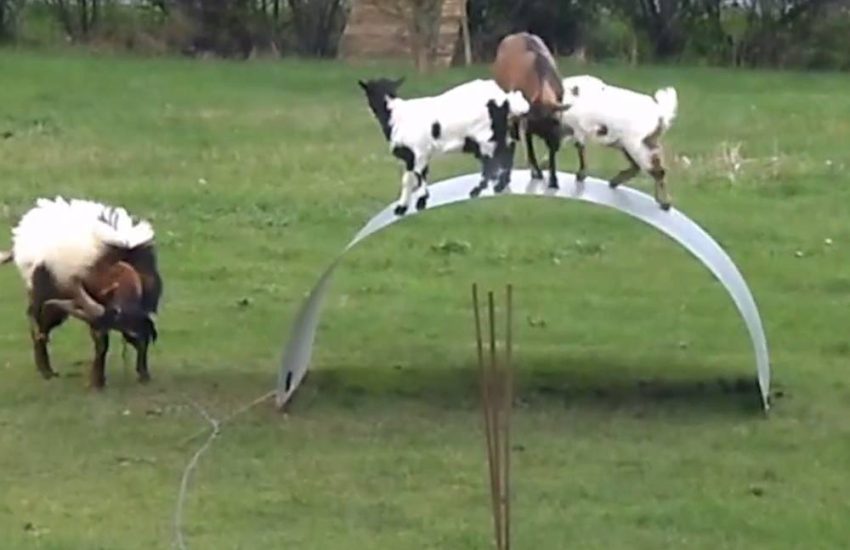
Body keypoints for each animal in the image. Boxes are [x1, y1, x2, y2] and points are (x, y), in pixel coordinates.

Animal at [1, 197, 163, 388]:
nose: (134, 333)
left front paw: (143, 374)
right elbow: (101, 343)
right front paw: (97, 381)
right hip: (44, 296)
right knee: (39, 327)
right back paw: (46, 371)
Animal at [358, 77, 530, 215]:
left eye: (369, 92)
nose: (370, 109)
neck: (395, 115)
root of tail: (505, 99)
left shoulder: (419, 152)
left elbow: (418, 175)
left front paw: (420, 202)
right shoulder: (412, 156)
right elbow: (408, 179)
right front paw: (404, 207)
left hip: (486, 137)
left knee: (493, 162)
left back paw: (480, 189)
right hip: (495, 134)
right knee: (507, 150)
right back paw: (499, 185)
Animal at [492, 32, 568, 190]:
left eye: (556, 121)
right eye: (535, 127)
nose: (557, 144)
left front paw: (553, 180)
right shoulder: (526, 122)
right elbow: (529, 147)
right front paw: (537, 173)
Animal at [559, 75, 679, 210]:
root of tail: (661, 114)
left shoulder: (577, 129)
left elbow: (580, 149)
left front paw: (580, 175)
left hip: (639, 147)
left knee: (658, 171)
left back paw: (665, 203)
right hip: (629, 146)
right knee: (638, 167)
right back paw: (614, 182)